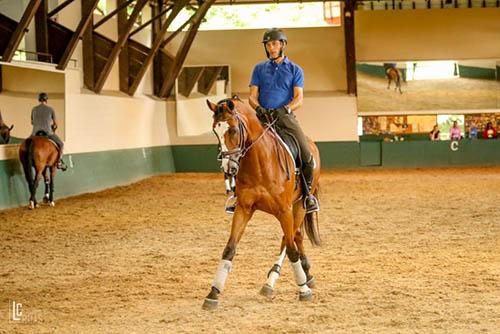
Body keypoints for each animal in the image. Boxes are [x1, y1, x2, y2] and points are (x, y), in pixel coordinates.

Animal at [202, 96, 320, 310]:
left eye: (233, 129)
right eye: (215, 130)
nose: (228, 168)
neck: (260, 162)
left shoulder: (284, 211)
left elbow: (290, 248)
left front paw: (303, 291)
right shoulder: (244, 209)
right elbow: (229, 248)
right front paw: (213, 293)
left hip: (300, 205)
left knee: (291, 238)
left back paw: (273, 281)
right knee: (297, 236)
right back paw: (305, 274)